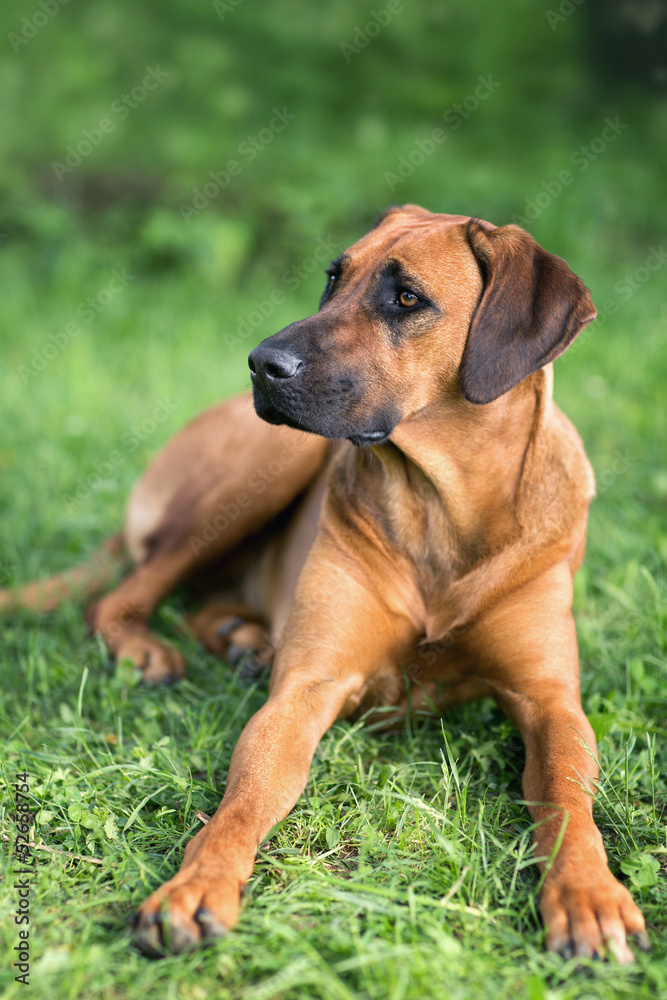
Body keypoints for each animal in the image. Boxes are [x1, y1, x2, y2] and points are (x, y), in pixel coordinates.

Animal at [2, 205, 648, 960]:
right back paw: (150, 649)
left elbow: (569, 801)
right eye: (334, 278)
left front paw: (588, 894)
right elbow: (244, 799)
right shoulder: (304, 691)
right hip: (267, 466)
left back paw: (243, 637)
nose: (261, 363)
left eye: (407, 298)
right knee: (124, 594)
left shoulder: (550, 702)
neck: (438, 507)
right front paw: (195, 885)